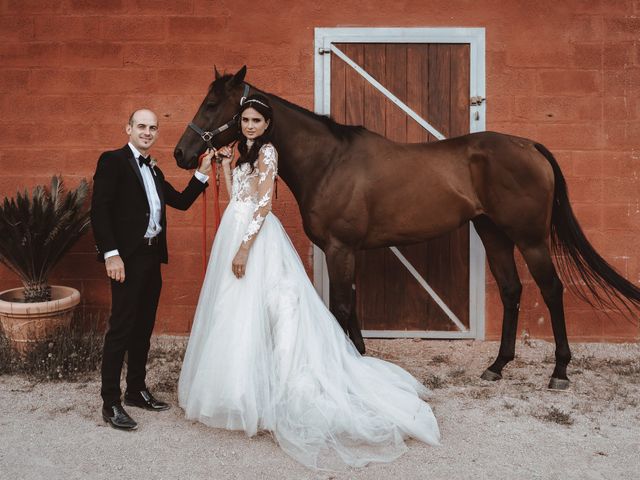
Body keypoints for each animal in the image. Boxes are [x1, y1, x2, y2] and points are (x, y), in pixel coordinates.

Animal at [175, 66, 640, 390]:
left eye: (213, 105)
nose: (182, 153)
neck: (329, 162)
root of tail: (530, 146)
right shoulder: (344, 250)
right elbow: (350, 304)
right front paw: (357, 358)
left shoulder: (341, 248)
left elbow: (341, 306)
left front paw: (350, 362)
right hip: (493, 233)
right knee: (512, 291)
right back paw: (496, 366)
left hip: (530, 239)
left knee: (551, 290)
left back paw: (559, 371)